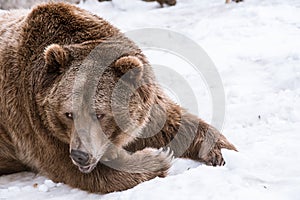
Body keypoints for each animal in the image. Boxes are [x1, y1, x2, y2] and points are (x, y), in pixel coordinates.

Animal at [0, 2, 237, 194]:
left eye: (100, 114)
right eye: (68, 114)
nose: (80, 155)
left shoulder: (146, 102)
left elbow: (174, 122)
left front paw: (220, 152)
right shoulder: (35, 123)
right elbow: (82, 171)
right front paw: (159, 158)